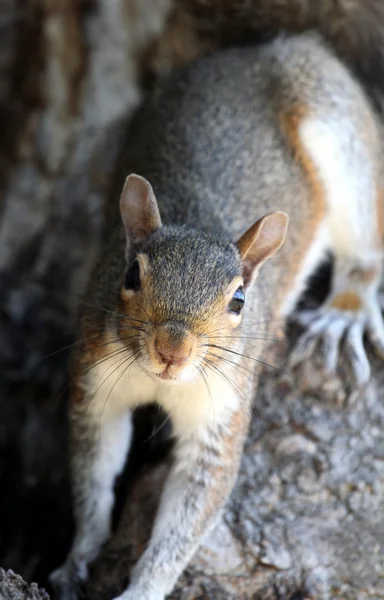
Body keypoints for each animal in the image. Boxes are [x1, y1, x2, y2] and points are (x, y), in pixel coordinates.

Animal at [49, 32, 382, 600]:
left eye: (240, 300)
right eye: (130, 275)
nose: (172, 350)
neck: (164, 383)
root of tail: (254, 54)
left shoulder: (222, 410)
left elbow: (190, 511)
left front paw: (143, 589)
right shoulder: (97, 378)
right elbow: (94, 469)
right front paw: (80, 553)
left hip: (339, 129)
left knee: (364, 243)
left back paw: (345, 315)